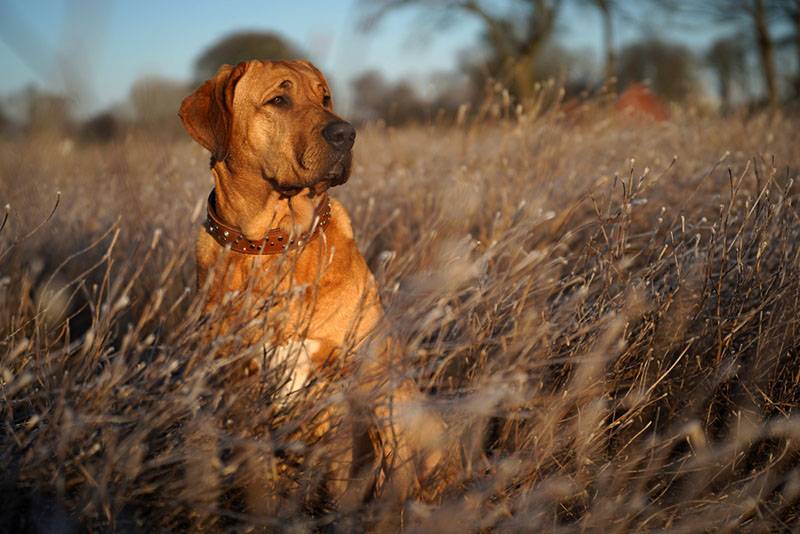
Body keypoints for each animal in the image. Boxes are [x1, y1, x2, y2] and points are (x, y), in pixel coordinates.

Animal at [179, 60, 444, 512]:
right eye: (278, 100)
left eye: (325, 98)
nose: (346, 134)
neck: (276, 241)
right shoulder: (240, 387)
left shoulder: (348, 382)